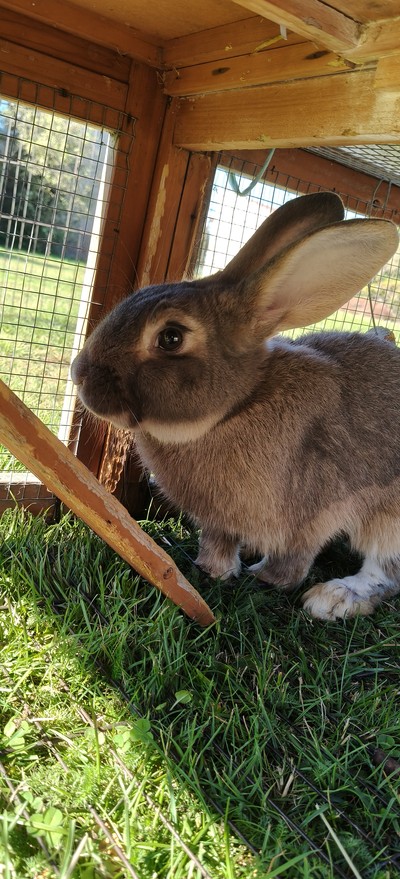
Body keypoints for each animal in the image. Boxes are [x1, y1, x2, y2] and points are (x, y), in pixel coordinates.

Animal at [71, 191, 400, 620]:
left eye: (171, 337)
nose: (79, 374)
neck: (235, 408)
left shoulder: (314, 512)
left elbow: (295, 557)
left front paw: (269, 578)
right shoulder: (219, 521)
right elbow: (218, 542)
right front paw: (214, 571)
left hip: (390, 520)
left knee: (385, 572)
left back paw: (334, 597)